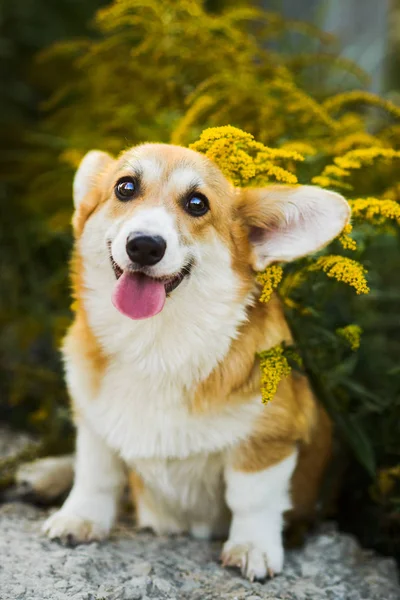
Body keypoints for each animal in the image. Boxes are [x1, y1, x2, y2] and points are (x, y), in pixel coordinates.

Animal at [44, 142, 350, 580]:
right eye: (125, 187)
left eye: (197, 203)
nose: (145, 245)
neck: (155, 345)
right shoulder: (93, 424)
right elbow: (96, 473)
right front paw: (80, 519)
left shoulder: (268, 439)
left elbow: (252, 498)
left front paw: (252, 548)